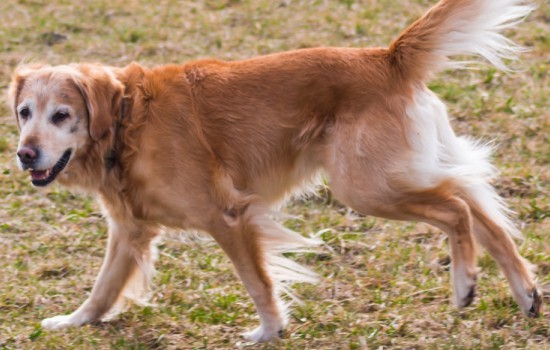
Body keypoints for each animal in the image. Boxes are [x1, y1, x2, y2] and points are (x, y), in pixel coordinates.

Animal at [9, 0, 544, 342]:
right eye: (24, 112)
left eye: (61, 115)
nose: (24, 154)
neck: (126, 121)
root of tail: (386, 57)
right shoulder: (129, 230)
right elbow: (101, 290)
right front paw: (72, 322)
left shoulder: (227, 215)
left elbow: (258, 282)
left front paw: (269, 331)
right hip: (392, 176)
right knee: (475, 200)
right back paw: (526, 292)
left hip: (365, 186)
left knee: (456, 207)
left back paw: (464, 282)